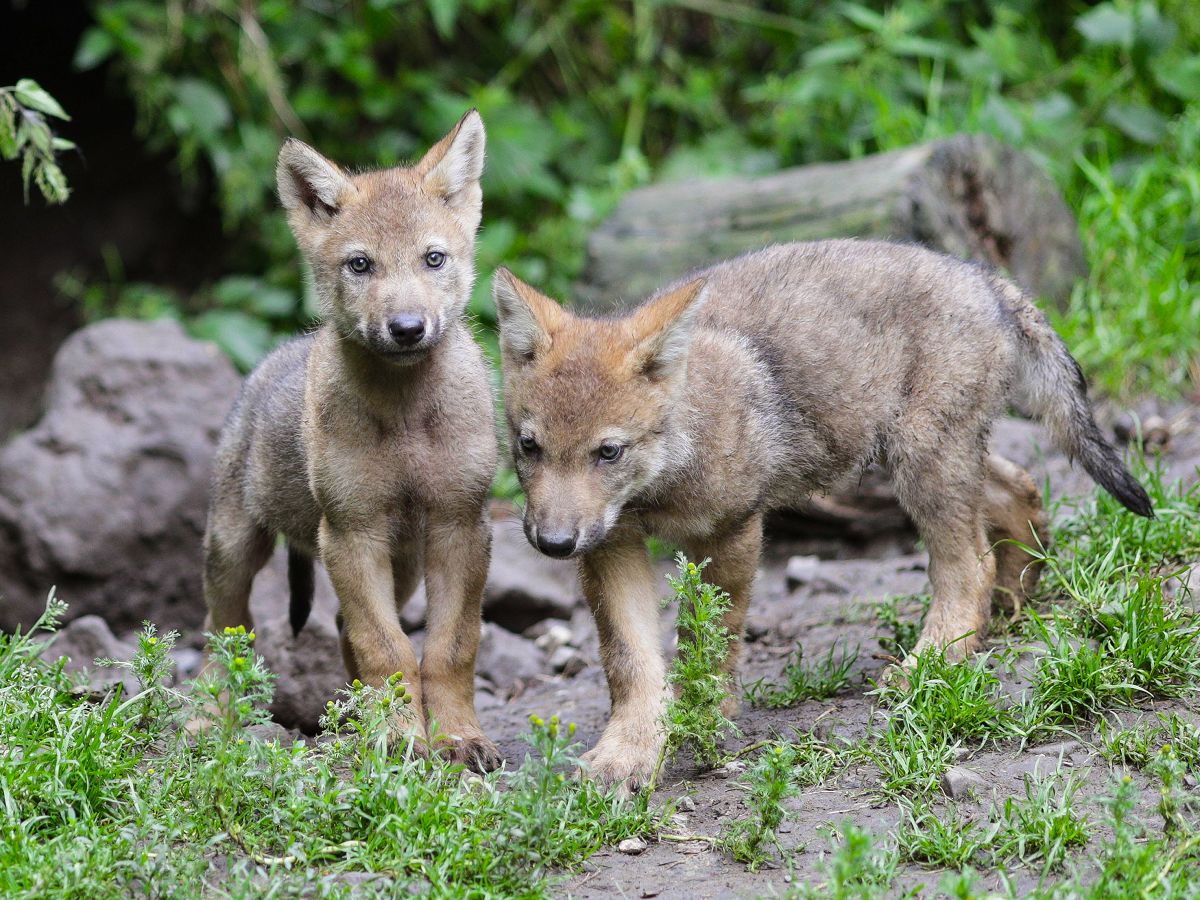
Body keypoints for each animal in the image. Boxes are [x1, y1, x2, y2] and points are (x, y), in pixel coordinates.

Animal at [202, 111, 500, 771]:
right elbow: (386, 649)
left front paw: (459, 737)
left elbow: (450, 647)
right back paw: (210, 721)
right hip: (234, 547)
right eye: (360, 265)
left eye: (433, 258)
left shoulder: (459, 525)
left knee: (341, 626)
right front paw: (402, 737)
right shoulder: (350, 530)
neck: (406, 416)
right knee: (223, 636)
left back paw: (355, 722)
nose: (408, 328)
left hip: (404, 562)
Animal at [492, 240, 1152, 792]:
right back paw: (1012, 609)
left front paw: (702, 720)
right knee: (1020, 491)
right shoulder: (610, 545)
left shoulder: (731, 532)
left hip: (920, 465)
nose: (552, 543)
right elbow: (632, 663)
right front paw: (627, 754)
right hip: (913, 460)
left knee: (971, 565)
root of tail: (982, 277)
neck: (667, 474)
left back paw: (932, 663)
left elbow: (710, 647)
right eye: (529, 447)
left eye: (609, 452)